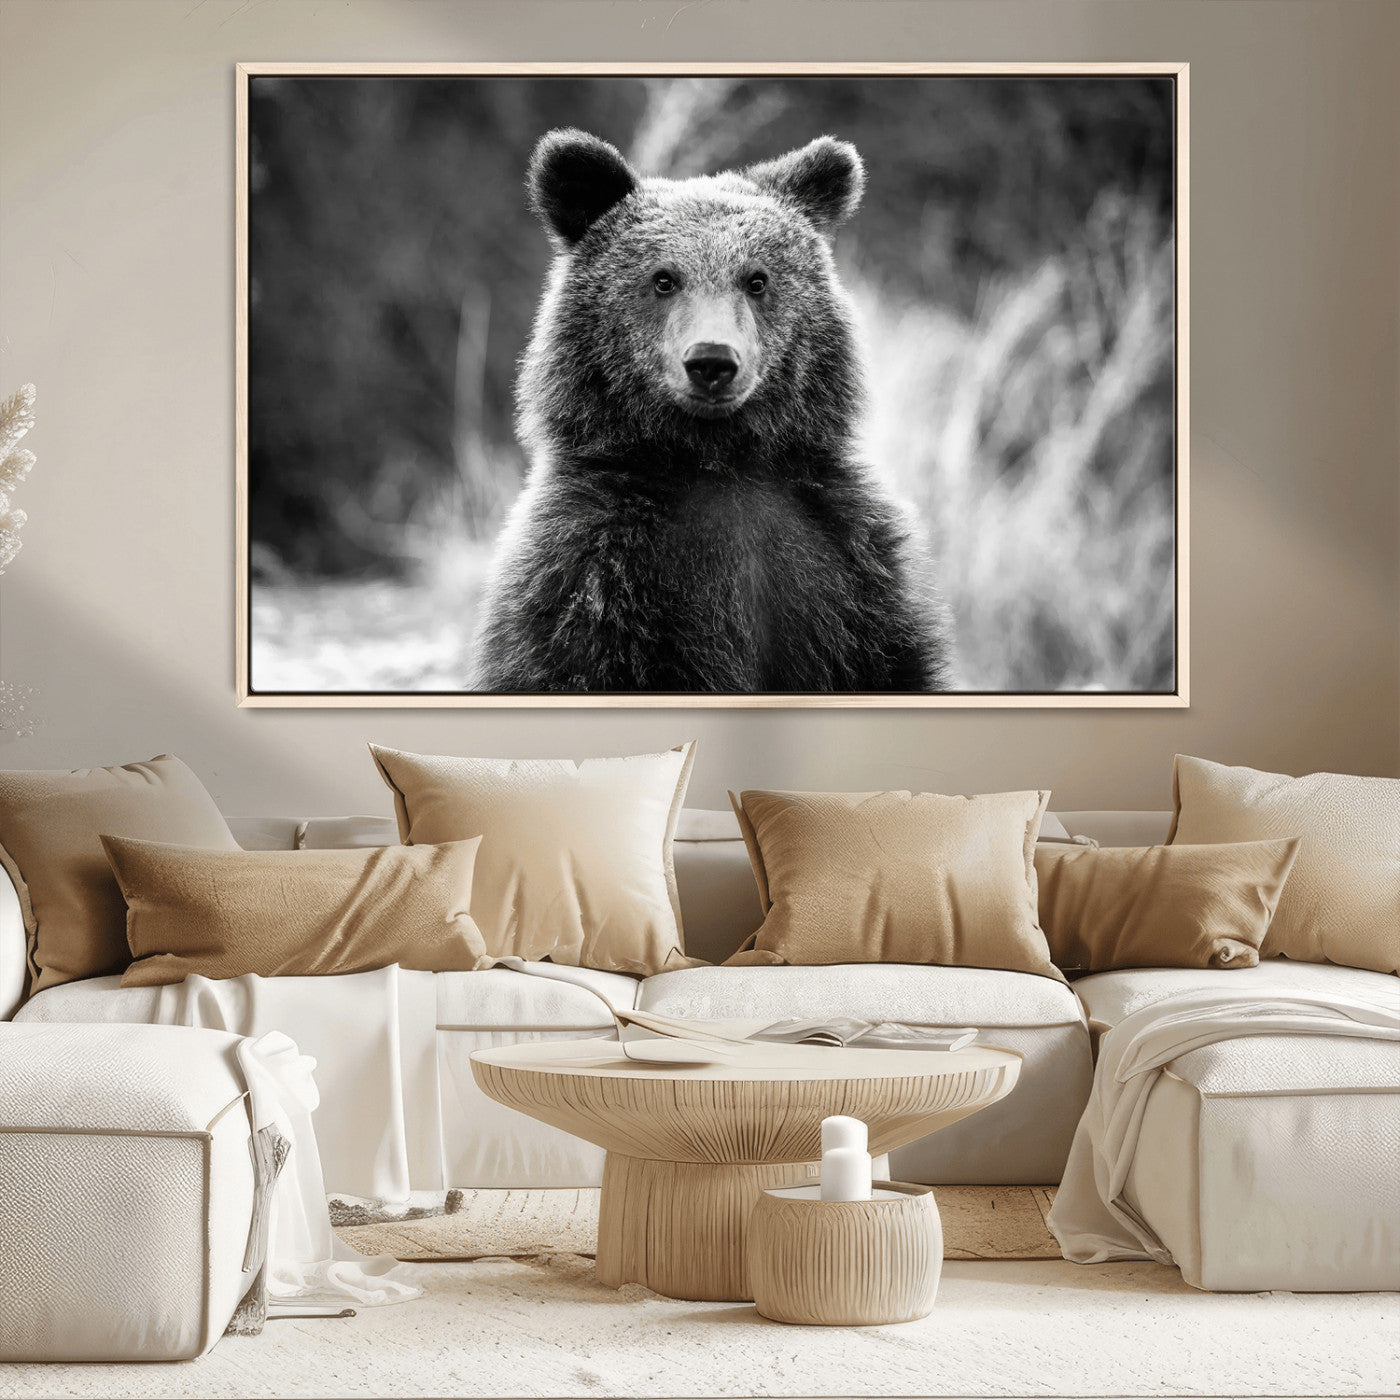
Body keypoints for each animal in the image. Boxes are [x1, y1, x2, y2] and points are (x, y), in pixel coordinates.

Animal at [473, 128, 952, 694]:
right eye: (663, 279)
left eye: (757, 279)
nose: (712, 361)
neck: (717, 460)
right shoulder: (589, 576)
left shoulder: (849, 568)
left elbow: (891, 660)